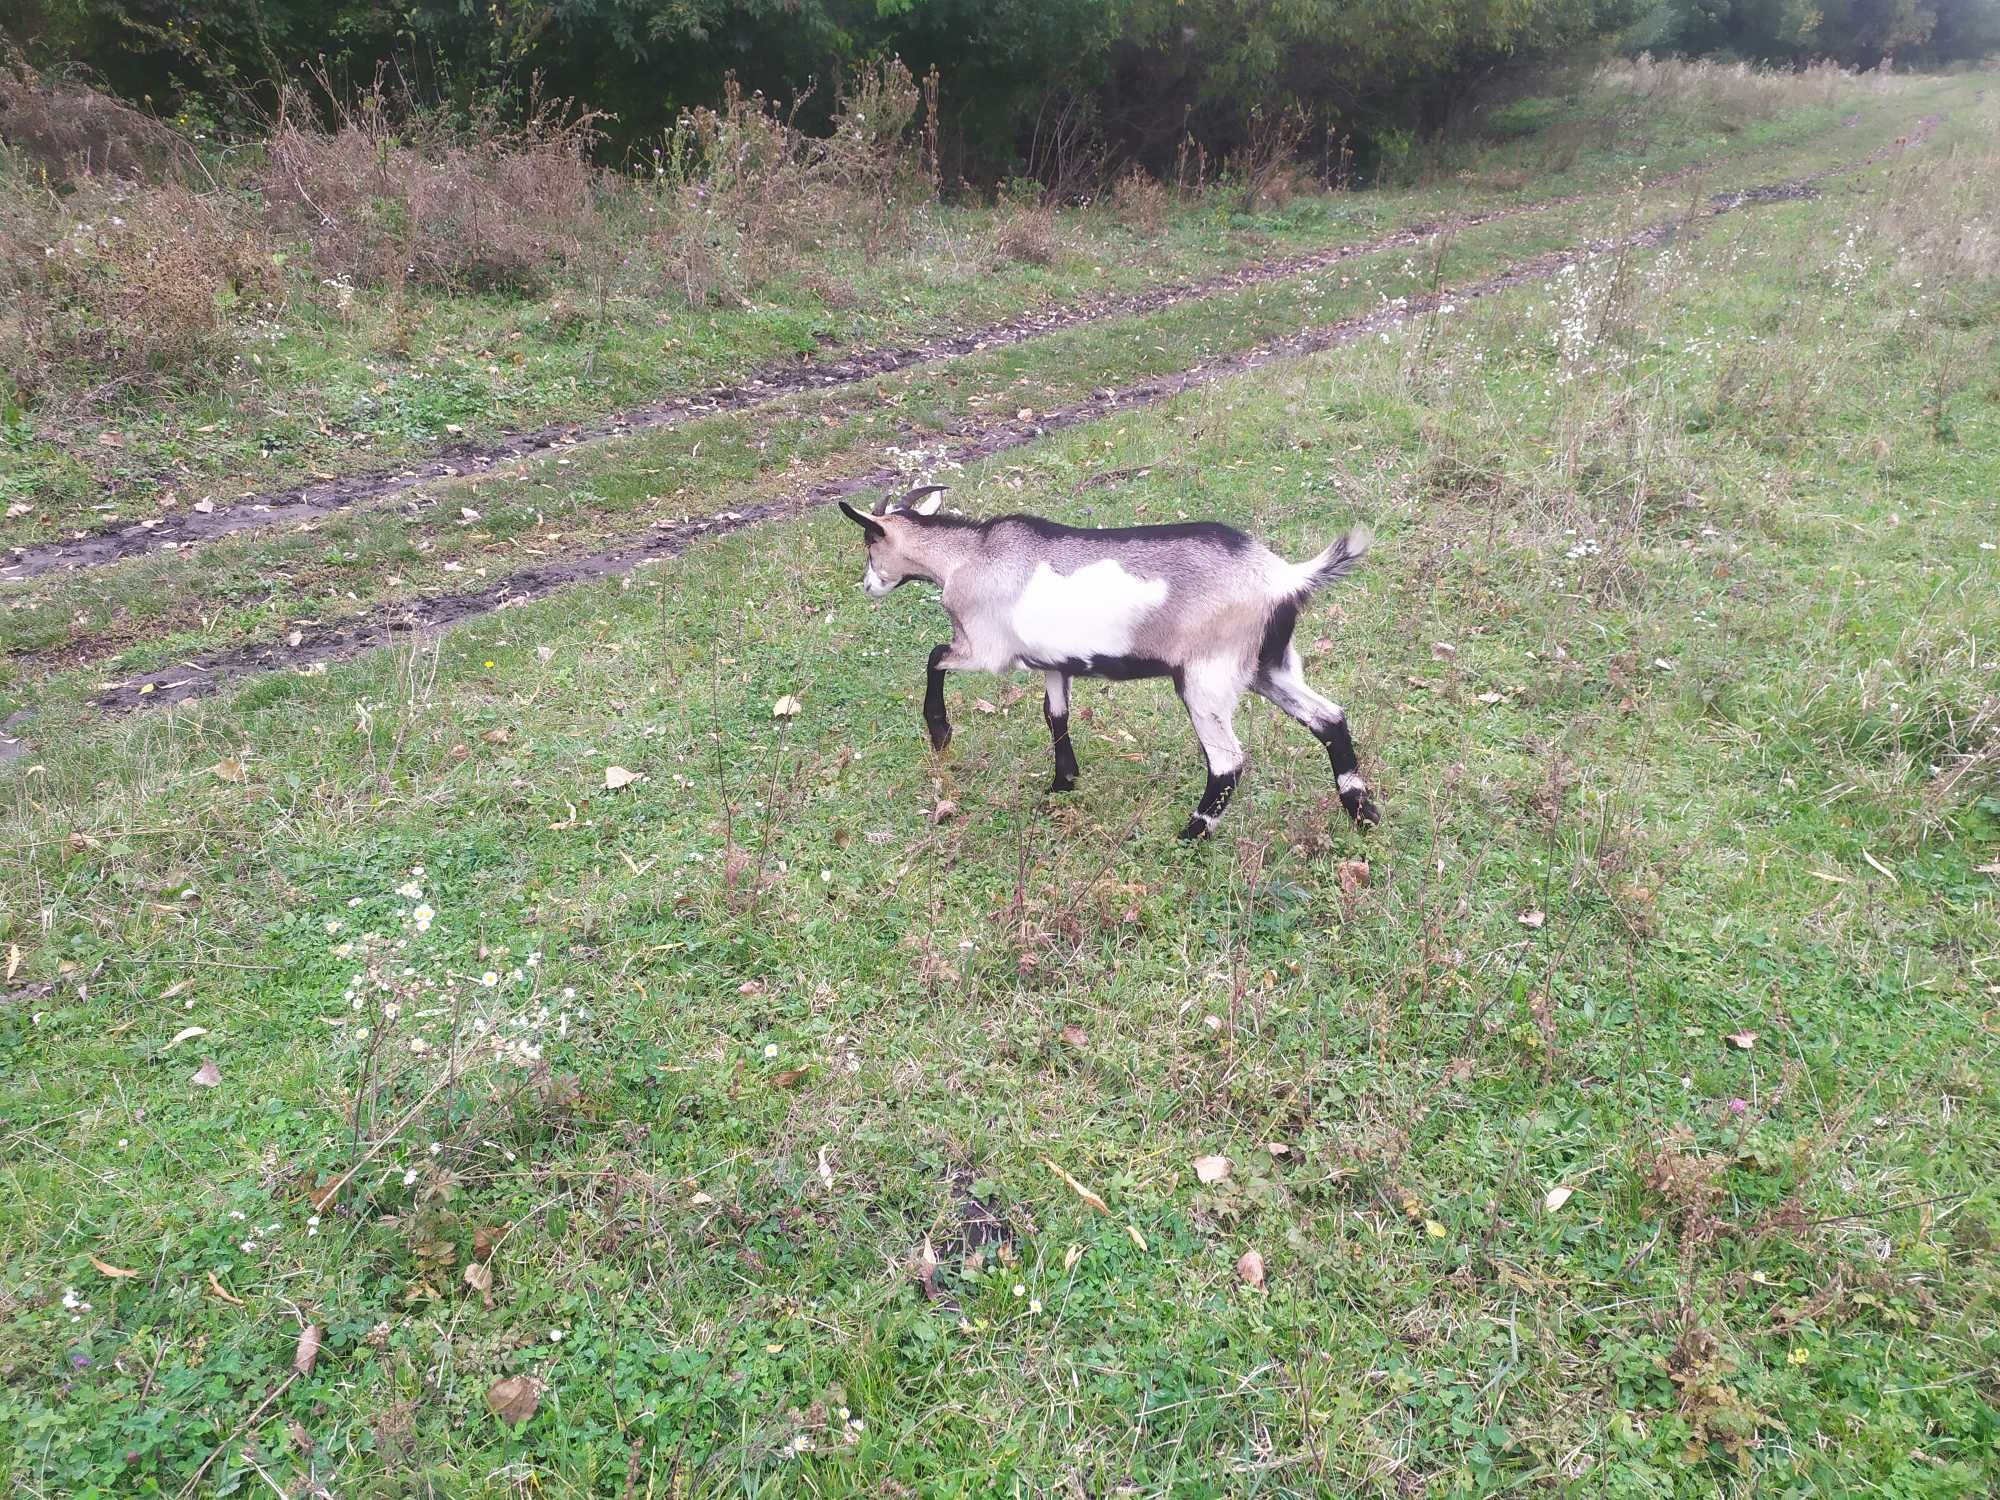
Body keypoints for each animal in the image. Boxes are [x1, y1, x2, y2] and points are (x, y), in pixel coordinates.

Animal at [836, 488, 1384, 840]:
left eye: (869, 545)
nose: (867, 586)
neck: (968, 557)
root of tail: (1283, 577)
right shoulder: (1054, 662)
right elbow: (1055, 714)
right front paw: (1063, 783)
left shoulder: (988, 650)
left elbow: (935, 657)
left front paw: (940, 732)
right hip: (1269, 667)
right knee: (1329, 717)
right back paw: (1362, 812)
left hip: (1207, 676)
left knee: (1227, 761)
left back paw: (1191, 833)